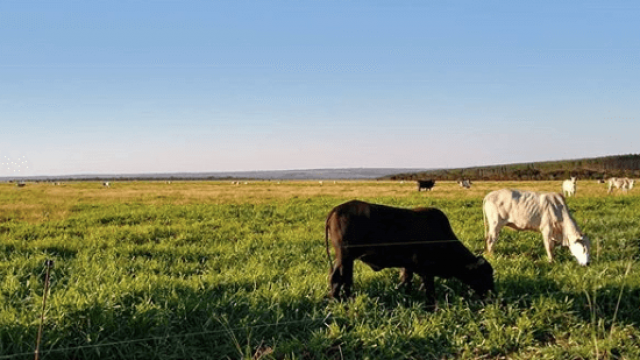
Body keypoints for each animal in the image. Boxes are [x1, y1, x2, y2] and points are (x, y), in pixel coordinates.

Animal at [324, 200, 496, 310]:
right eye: (484, 275)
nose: (493, 295)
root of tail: (337, 209)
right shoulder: (426, 270)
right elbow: (429, 290)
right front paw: (431, 306)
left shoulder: (408, 266)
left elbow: (406, 282)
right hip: (345, 257)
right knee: (338, 277)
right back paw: (339, 299)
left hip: (346, 259)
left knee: (342, 278)